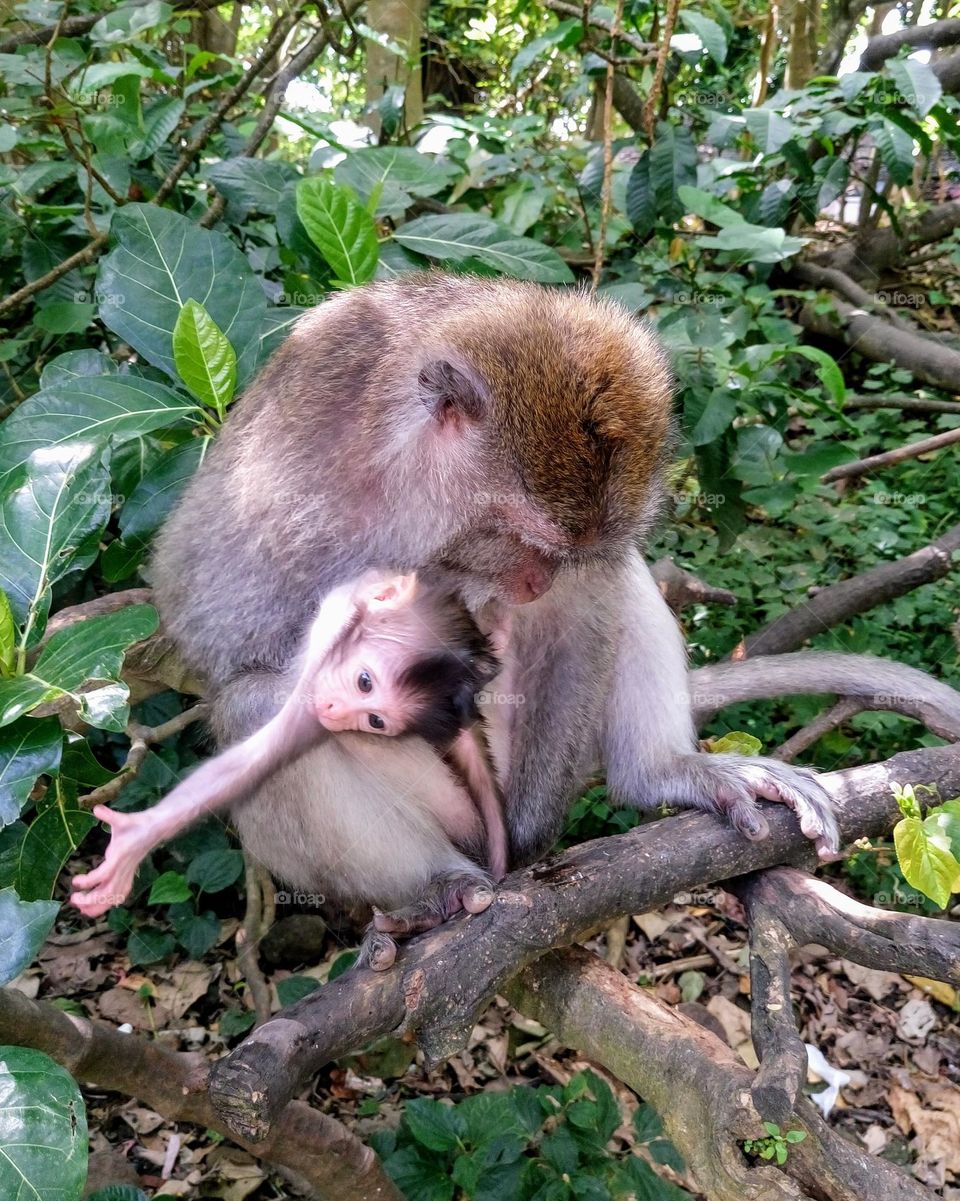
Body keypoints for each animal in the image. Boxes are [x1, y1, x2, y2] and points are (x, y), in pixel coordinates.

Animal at [150, 272, 831, 936]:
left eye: (571, 555)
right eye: (520, 539)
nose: (535, 584)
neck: (395, 478)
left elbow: (583, 609)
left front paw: (532, 832)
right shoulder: (292, 512)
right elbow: (228, 642)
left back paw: (657, 770)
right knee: (258, 706)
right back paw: (438, 882)